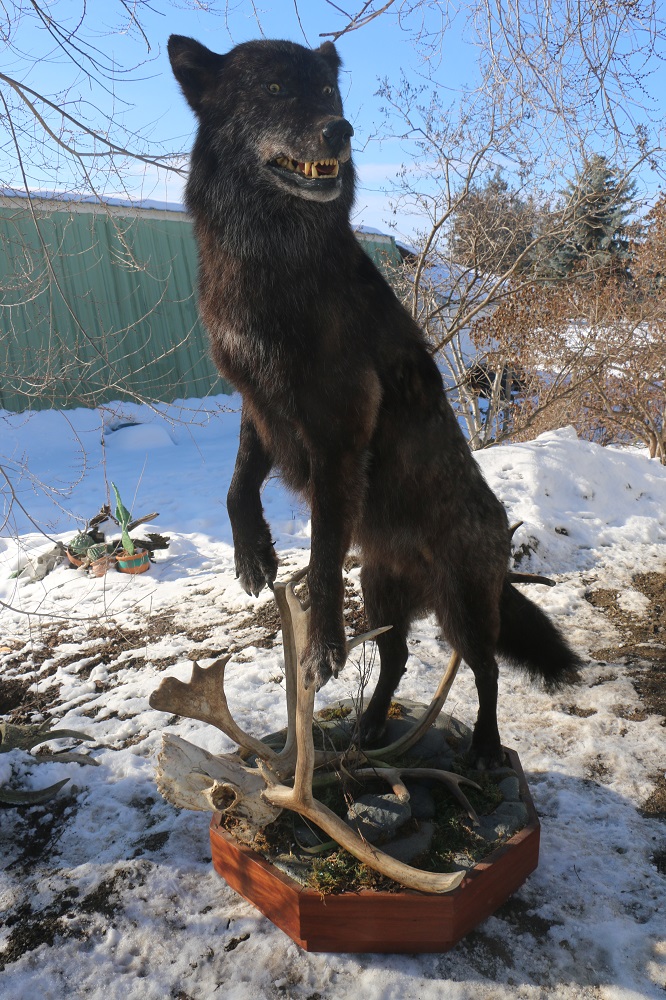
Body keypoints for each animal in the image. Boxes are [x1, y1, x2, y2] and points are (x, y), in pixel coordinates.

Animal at [168, 34, 580, 767]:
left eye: (329, 93)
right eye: (275, 88)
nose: (341, 130)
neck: (272, 264)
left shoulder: (339, 427)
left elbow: (325, 544)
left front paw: (324, 646)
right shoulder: (255, 397)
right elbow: (238, 481)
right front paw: (254, 556)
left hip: (463, 607)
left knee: (485, 670)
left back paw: (483, 747)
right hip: (384, 595)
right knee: (395, 659)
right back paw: (368, 730)